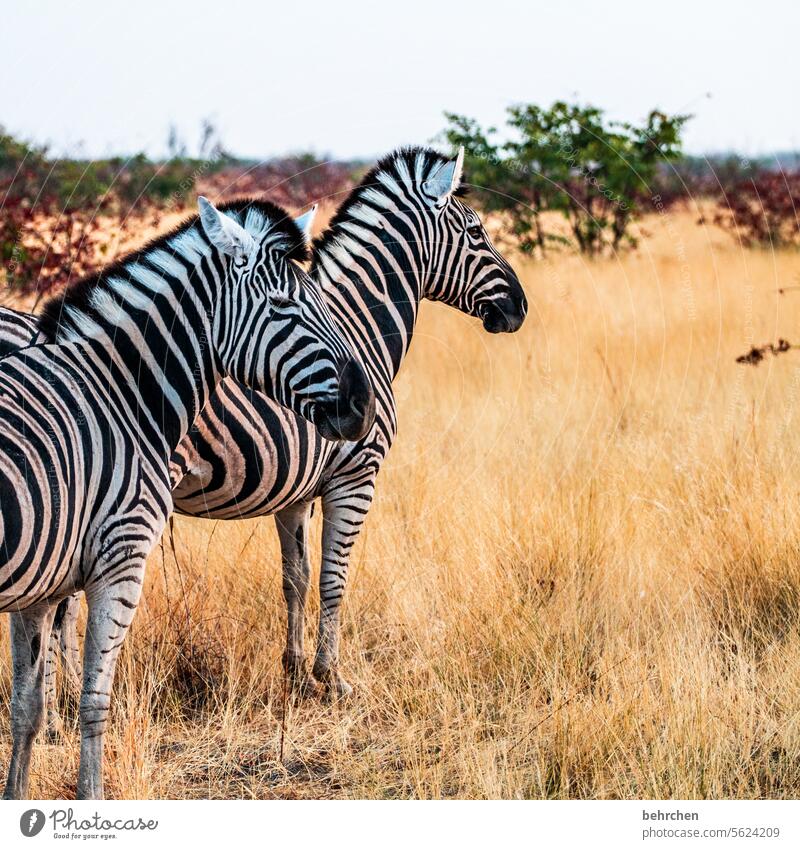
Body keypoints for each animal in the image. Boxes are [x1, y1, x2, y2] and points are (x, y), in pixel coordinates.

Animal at [0, 195, 376, 800]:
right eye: (283, 306)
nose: (363, 407)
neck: (121, 394)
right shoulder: (121, 560)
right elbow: (94, 702)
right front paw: (92, 796)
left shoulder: (41, 584)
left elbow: (26, 709)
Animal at [18, 144, 528, 704]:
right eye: (476, 232)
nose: (519, 308)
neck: (359, 325)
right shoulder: (356, 474)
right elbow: (333, 577)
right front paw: (332, 677)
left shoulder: (298, 492)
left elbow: (296, 577)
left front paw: (296, 669)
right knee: (62, 607)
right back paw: (61, 698)